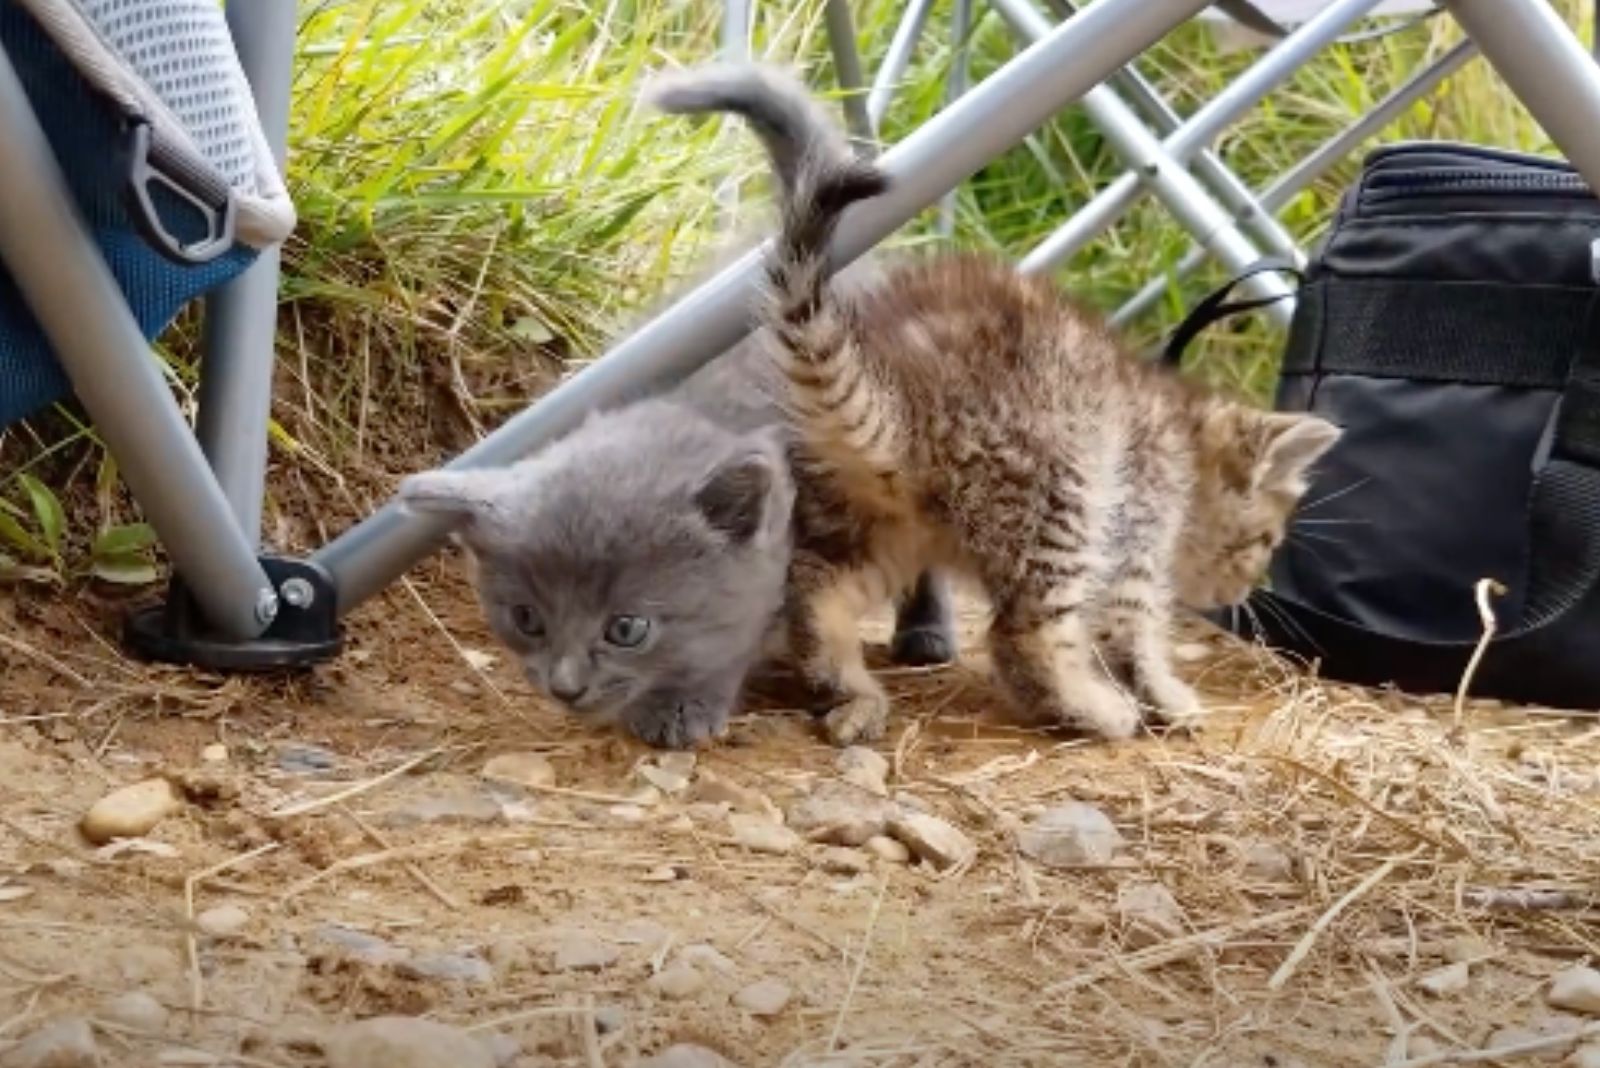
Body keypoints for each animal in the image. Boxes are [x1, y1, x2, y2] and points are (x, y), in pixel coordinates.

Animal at [646, 64, 1337, 741]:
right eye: (1266, 538)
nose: (1247, 587)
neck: (1179, 431)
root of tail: (903, 398)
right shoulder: (1137, 520)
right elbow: (1131, 627)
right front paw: (1166, 695)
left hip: (875, 517)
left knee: (814, 592)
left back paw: (850, 691)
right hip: (1059, 484)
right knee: (1023, 634)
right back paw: (1088, 708)